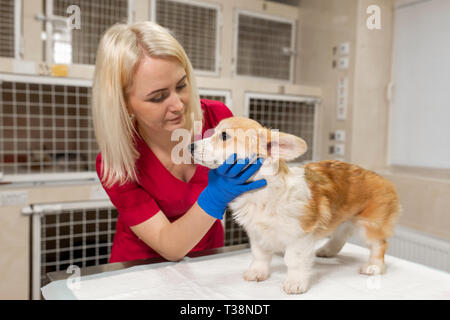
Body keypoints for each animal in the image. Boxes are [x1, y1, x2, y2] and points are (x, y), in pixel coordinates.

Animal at [188, 116, 400, 294]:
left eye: (224, 136)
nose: (190, 146)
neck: (260, 192)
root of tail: (384, 179)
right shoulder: (257, 234)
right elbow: (259, 255)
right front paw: (257, 272)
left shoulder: (300, 236)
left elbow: (294, 261)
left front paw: (295, 283)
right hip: (343, 218)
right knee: (341, 234)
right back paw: (327, 251)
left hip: (370, 225)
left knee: (379, 245)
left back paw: (373, 266)